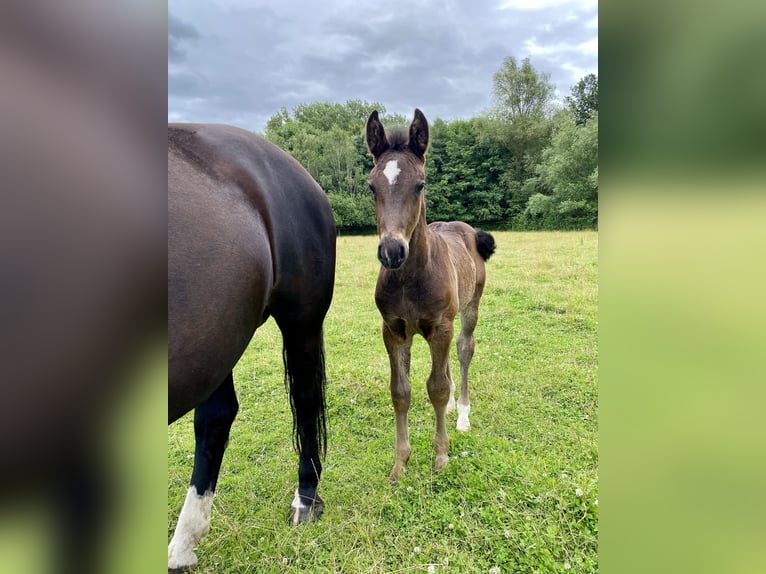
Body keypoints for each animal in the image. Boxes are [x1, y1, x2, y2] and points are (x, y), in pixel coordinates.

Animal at [168, 124, 336, 572]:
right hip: (215, 341)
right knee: (216, 419)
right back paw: (184, 545)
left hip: (300, 321)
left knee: (305, 401)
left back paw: (306, 499)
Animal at [366, 109, 498, 486]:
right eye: (371, 186)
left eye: (420, 184)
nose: (392, 251)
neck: (410, 279)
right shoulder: (394, 330)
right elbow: (401, 392)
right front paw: (401, 463)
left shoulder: (440, 326)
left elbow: (436, 388)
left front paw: (441, 457)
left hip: (469, 309)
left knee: (464, 351)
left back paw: (462, 414)